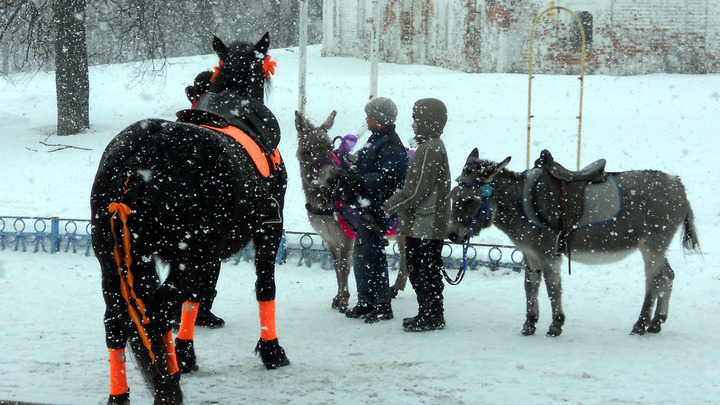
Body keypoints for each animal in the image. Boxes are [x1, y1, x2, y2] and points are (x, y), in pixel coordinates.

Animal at [90, 34, 290, 404]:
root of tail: (137, 158)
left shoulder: (205, 255)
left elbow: (194, 299)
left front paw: (186, 354)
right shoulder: (269, 231)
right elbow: (265, 287)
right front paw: (271, 350)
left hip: (112, 264)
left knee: (117, 323)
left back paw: (124, 392)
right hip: (184, 256)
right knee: (154, 316)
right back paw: (167, 385)